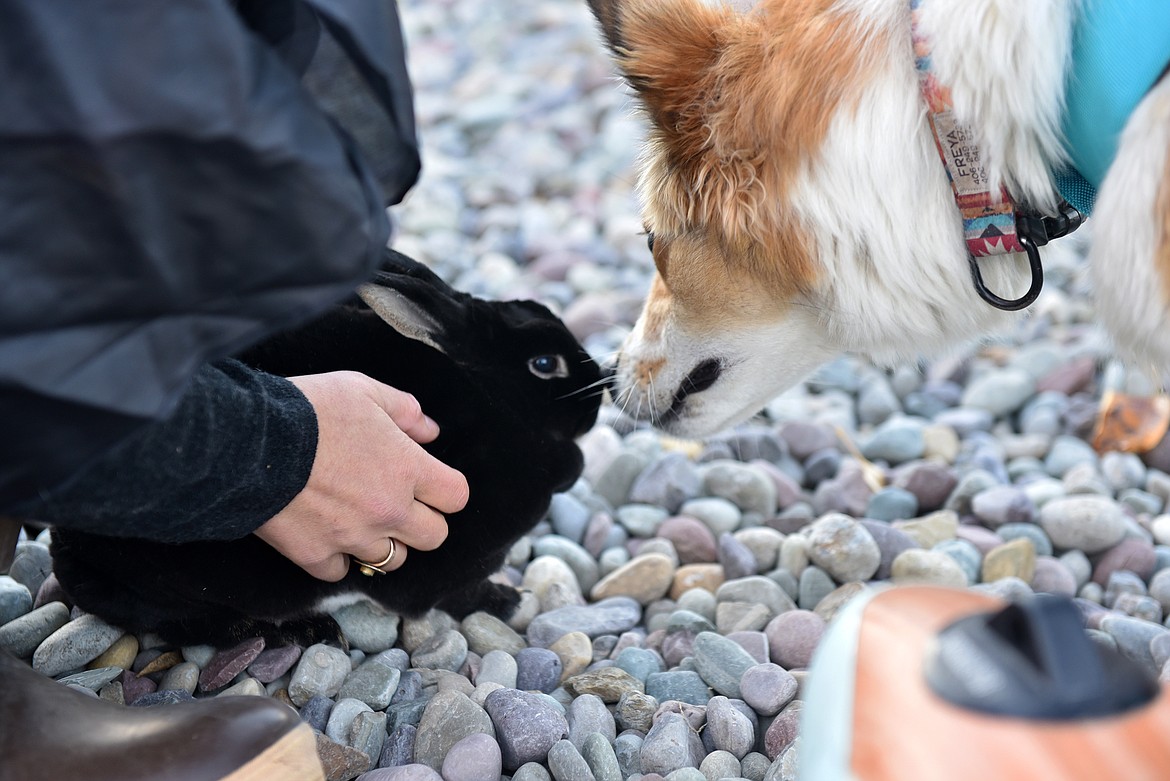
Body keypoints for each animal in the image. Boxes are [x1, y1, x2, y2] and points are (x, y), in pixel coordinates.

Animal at [50, 250, 603, 645]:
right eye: (545, 364)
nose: (598, 396)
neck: (495, 399)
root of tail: (68, 547)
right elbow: (461, 595)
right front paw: (511, 600)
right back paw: (292, 631)